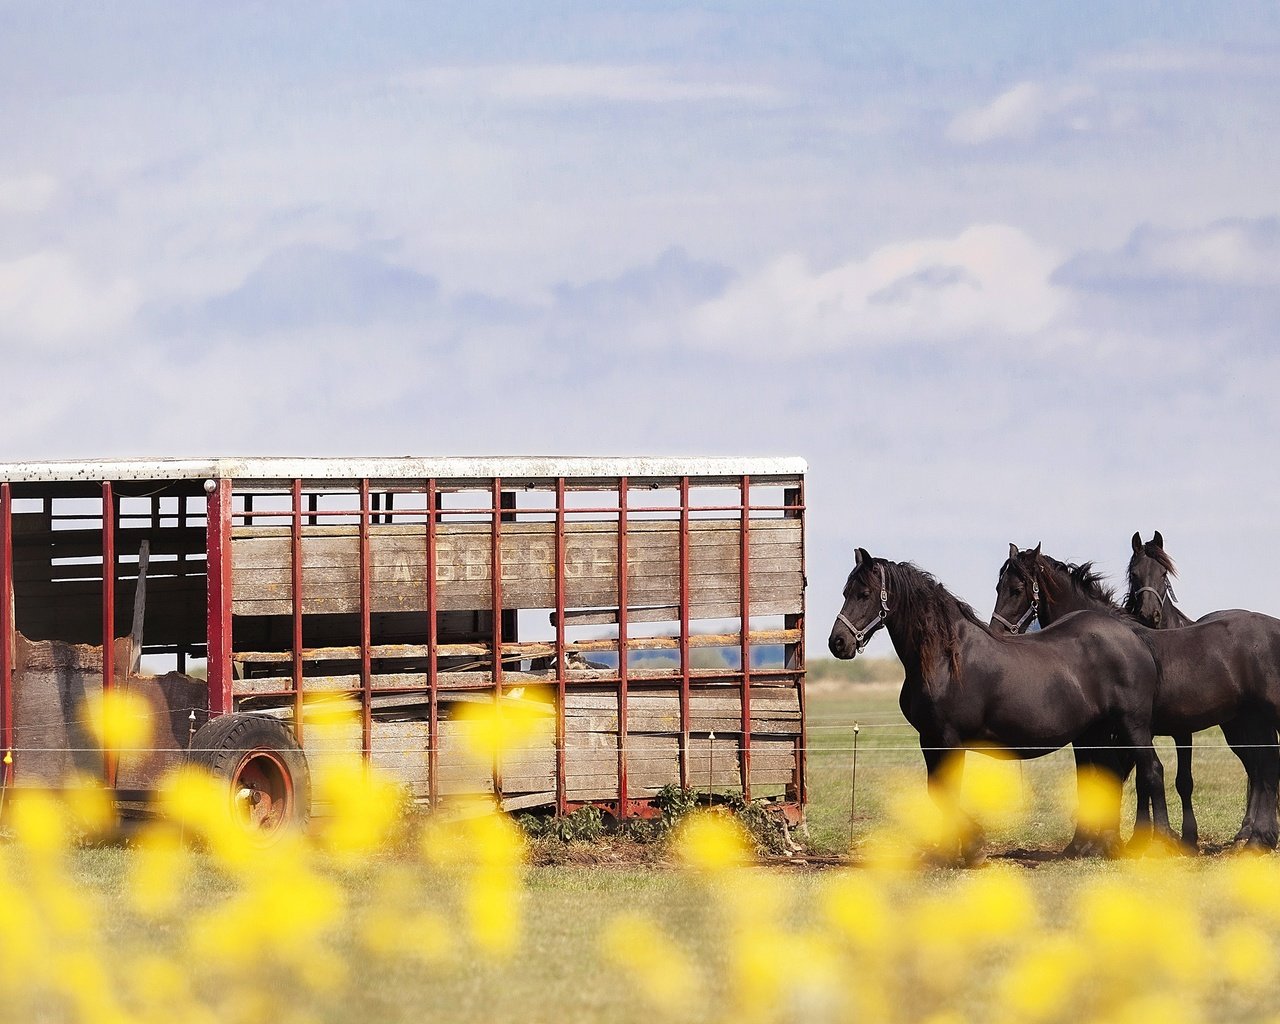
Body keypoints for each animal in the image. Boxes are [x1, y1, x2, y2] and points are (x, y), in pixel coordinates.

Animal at [829, 547, 1172, 860]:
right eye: (845, 592)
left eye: (864, 594)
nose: (838, 643)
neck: (946, 658)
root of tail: (1134, 638)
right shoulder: (929, 739)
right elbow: (937, 791)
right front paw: (949, 851)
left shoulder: (949, 738)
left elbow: (947, 792)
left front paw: (971, 847)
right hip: (1096, 733)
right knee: (1107, 778)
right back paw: (1099, 846)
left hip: (1132, 725)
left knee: (1151, 771)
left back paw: (1160, 844)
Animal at [998, 542, 1280, 849]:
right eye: (998, 586)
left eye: (1016, 589)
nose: (996, 630)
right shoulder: (1095, 735)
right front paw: (1090, 841)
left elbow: (1130, 778)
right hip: (1249, 723)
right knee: (1262, 768)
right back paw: (1256, 836)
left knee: (1262, 769)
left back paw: (1255, 837)